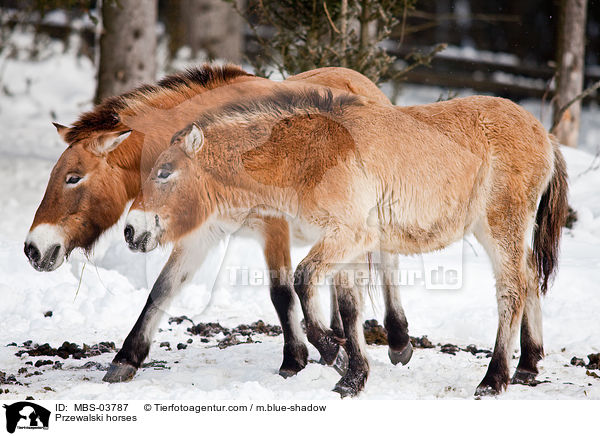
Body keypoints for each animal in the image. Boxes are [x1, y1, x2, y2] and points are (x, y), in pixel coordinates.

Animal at [24, 63, 418, 382]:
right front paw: (126, 359)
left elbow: (281, 293)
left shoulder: (273, 227)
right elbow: (162, 289)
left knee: (387, 266)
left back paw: (398, 340)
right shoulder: (201, 235)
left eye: (73, 178)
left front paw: (294, 360)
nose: (32, 249)